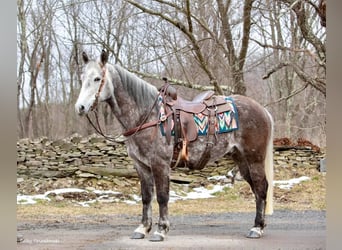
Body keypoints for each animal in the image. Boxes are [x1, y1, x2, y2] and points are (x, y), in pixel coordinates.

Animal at [75, 49, 276, 241]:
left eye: (97, 78)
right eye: (82, 78)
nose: (80, 107)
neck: (147, 116)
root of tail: (262, 110)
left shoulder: (160, 164)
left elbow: (162, 197)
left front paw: (161, 230)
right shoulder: (141, 166)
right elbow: (146, 197)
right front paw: (142, 228)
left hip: (255, 158)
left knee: (261, 188)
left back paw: (256, 228)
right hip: (241, 159)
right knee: (257, 189)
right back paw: (260, 225)